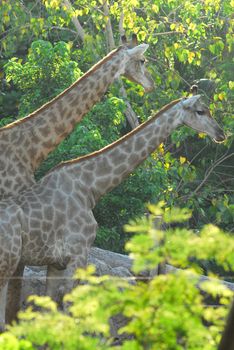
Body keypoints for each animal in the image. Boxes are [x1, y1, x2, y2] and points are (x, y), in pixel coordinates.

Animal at [0, 93, 226, 328]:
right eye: (200, 111)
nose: (221, 134)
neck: (90, 188)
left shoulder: (56, 263)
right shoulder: (78, 255)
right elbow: (69, 309)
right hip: (7, 263)